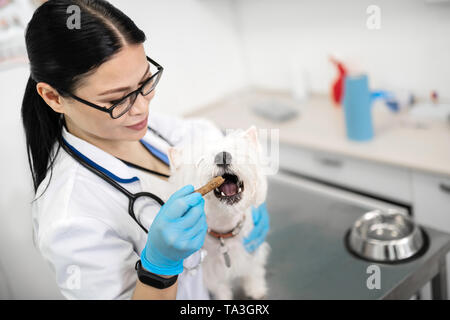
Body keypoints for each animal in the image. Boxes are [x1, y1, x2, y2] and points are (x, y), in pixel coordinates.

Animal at [166, 125, 268, 300]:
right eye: (199, 160)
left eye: (235, 149)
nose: (223, 155)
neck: (225, 230)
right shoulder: (211, 270)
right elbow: (220, 287)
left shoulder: (252, 250)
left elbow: (253, 271)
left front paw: (256, 289)